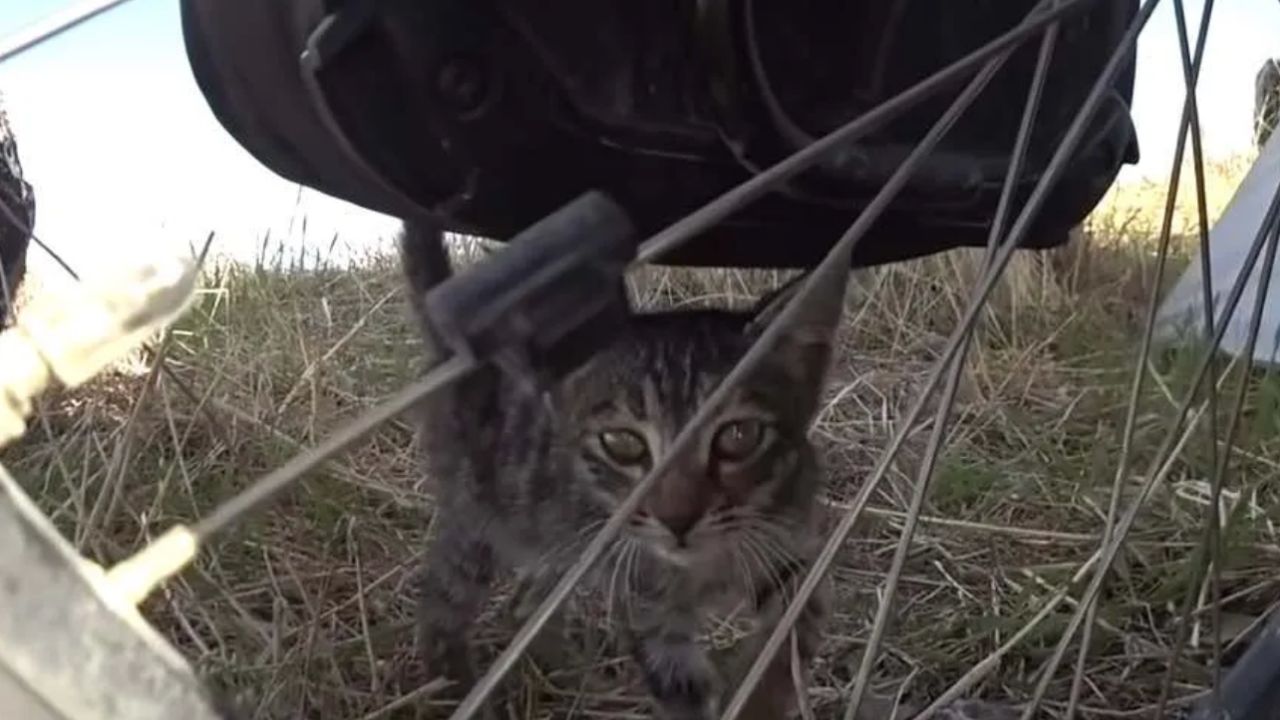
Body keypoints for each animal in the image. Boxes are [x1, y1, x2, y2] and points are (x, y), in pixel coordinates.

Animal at [399, 221, 839, 712]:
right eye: (623, 444)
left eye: (738, 436)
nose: (677, 520)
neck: (704, 568)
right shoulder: (647, 609)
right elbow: (680, 685)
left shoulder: (789, 539)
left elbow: (800, 620)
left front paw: (764, 692)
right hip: (480, 521)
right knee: (440, 611)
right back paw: (453, 688)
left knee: (525, 603)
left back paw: (576, 680)